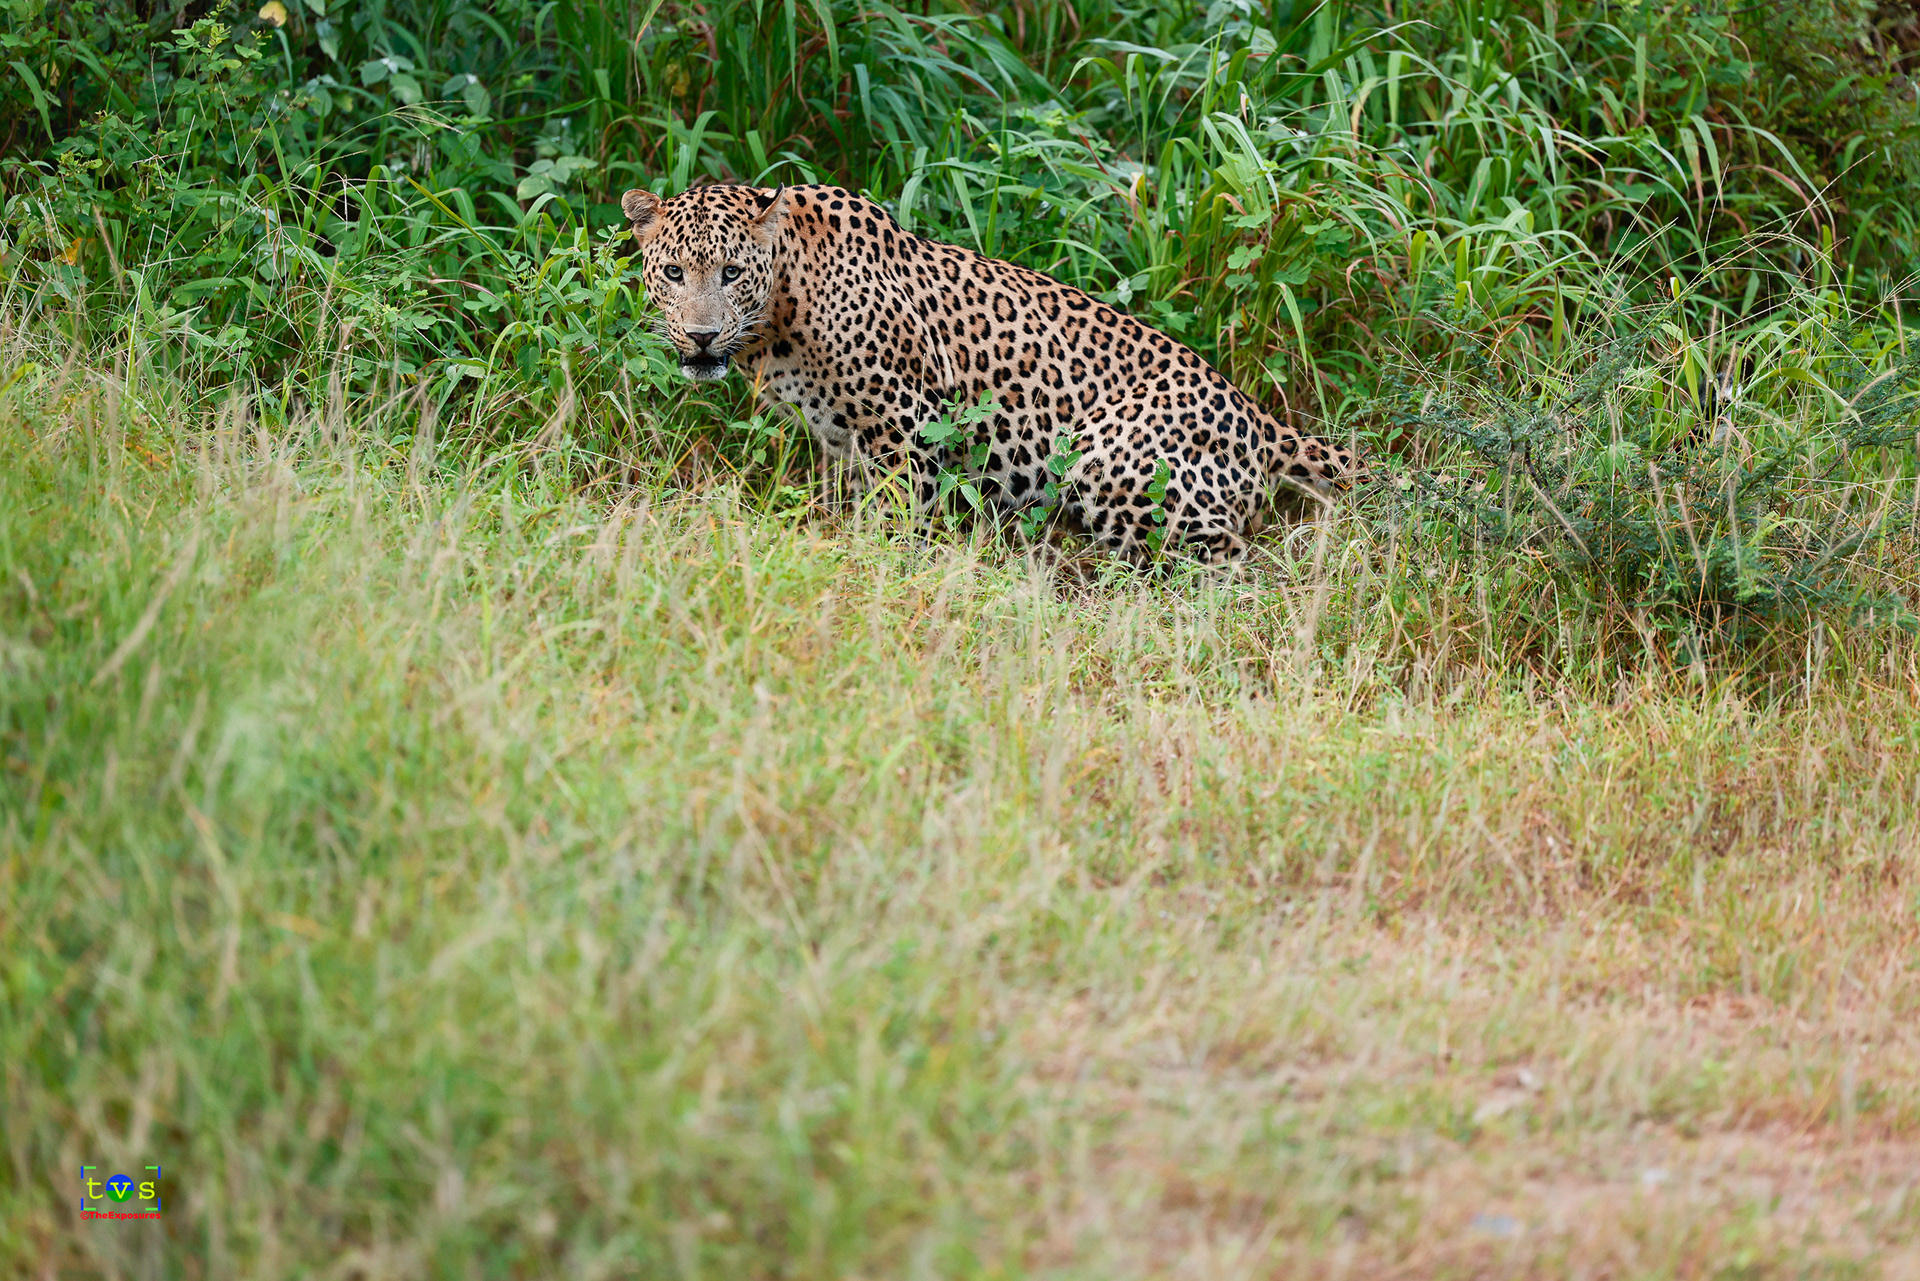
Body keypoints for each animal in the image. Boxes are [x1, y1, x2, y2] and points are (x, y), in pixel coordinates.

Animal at [621, 182, 1358, 562]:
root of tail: (1264, 420)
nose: (701, 336)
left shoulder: (906, 423)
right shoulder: (843, 439)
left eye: (731, 273)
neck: (779, 318)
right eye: (674, 272)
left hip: (1111, 463)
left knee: (1230, 560)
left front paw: (885, 569)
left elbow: (898, 517)